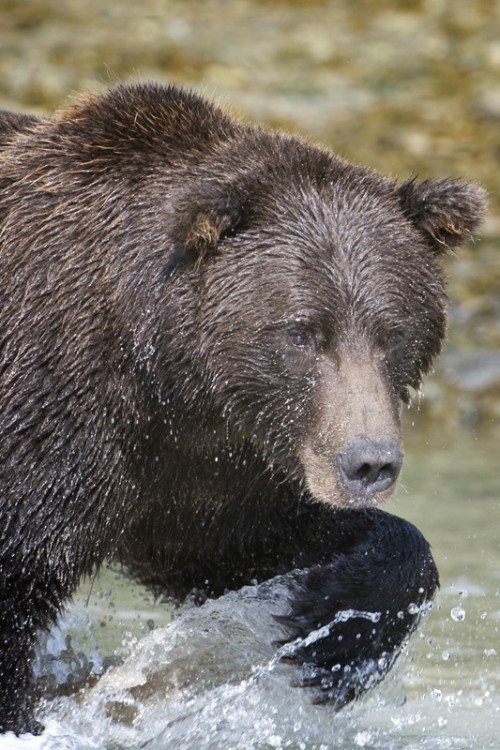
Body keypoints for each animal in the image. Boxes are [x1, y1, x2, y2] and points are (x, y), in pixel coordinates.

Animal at [0, 82, 484, 736]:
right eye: (302, 333)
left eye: (393, 331)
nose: (369, 463)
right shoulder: (57, 415)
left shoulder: (207, 472)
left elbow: (247, 543)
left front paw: (326, 633)